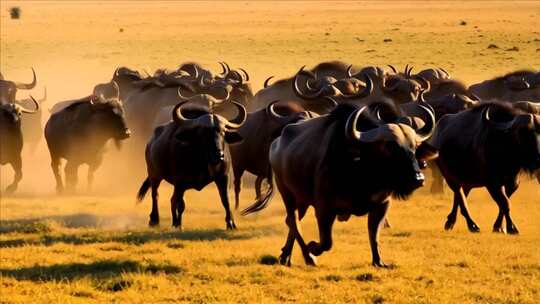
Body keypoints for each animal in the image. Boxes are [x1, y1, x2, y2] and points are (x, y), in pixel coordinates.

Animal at [135, 98, 247, 229]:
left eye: (223, 132)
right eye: (203, 132)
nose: (218, 155)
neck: (203, 161)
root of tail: (150, 142)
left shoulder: (223, 177)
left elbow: (226, 200)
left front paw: (231, 223)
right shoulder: (180, 182)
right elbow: (180, 204)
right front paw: (179, 224)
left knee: (172, 199)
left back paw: (173, 221)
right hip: (154, 174)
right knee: (155, 194)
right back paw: (155, 220)